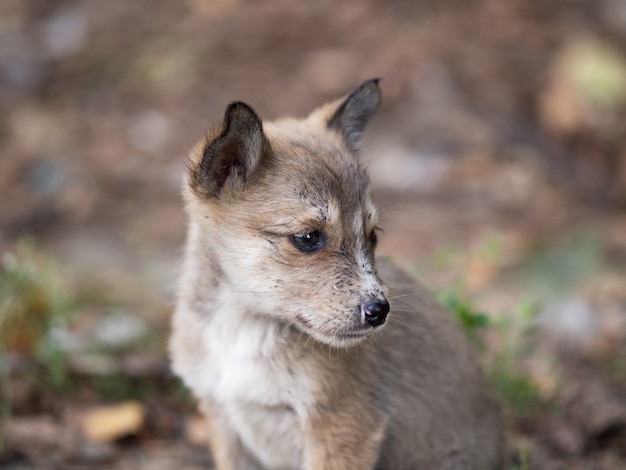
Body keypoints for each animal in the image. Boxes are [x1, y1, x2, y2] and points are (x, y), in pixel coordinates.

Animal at [168, 79, 504, 468]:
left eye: (373, 236)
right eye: (308, 238)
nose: (379, 311)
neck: (242, 326)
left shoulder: (341, 426)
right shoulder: (224, 421)